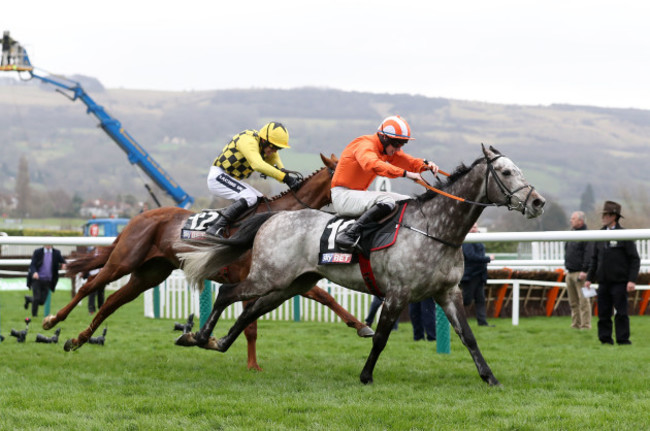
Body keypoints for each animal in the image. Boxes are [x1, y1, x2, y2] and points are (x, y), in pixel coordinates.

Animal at [43, 154, 372, 370]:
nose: (364, 206)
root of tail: (138, 217)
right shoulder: (254, 276)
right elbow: (251, 325)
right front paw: (247, 362)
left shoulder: (282, 275)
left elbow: (325, 296)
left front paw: (360, 325)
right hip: (123, 262)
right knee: (89, 286)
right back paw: (52, 321)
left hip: (149, 274)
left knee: (112, 302)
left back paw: (78, 339)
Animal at [176, 147, 540, 386]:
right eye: (506, 172)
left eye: (519, 169)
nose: (538, 202)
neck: (434, 228)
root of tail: (274, 216)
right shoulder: (397, 294)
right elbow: (380, 338)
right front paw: (366, 375)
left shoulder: (448, 293)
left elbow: (469, 337)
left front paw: (489, 377)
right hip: (268, 276)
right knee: (228, 293)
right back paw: (199, 336)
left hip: (291, 284)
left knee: (250, 310)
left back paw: (219, 342)